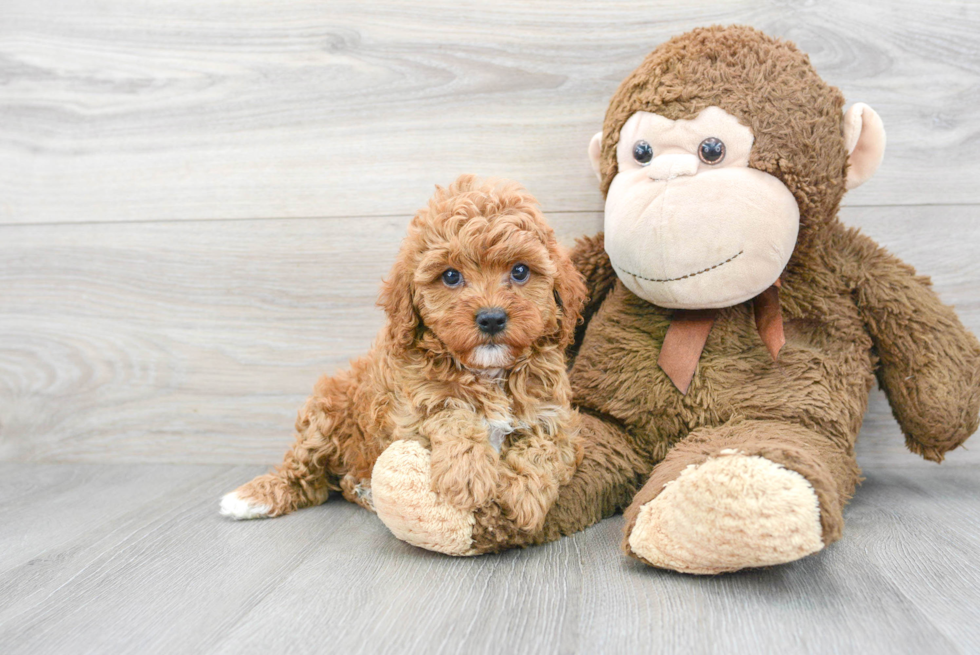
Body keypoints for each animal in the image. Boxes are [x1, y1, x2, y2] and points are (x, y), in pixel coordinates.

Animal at [222, 174, 584, 540]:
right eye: (450, 276)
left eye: (520, 271)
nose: (492, 318)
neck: (487, 371)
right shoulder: (410, 412)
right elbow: (451, 413)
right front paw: (466, 474)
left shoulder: (557, 417)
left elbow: (542, 447)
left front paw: (522, 495)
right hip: (324, 415)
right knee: (305, 474)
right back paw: (254, 497)